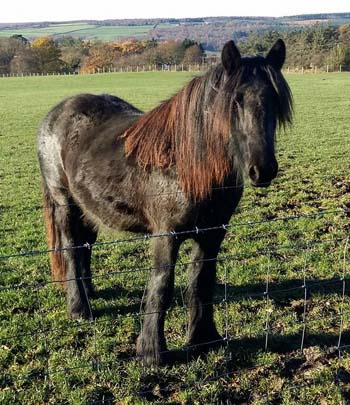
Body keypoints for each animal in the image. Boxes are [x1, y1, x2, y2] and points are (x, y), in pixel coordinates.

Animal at [37, 39, 292, 364]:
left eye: (275, 99)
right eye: (234, 100)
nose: (263, 169)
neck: (189, 164)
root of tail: (56, 113)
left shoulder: (212, 234)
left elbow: (201, 282)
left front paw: (204, 339)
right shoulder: (166, 235)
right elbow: (162, 286)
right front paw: (151, 351)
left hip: (88, 209)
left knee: (84, 248)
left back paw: (89, 292)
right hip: (65, 203)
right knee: (71, 249)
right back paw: (79, 308)